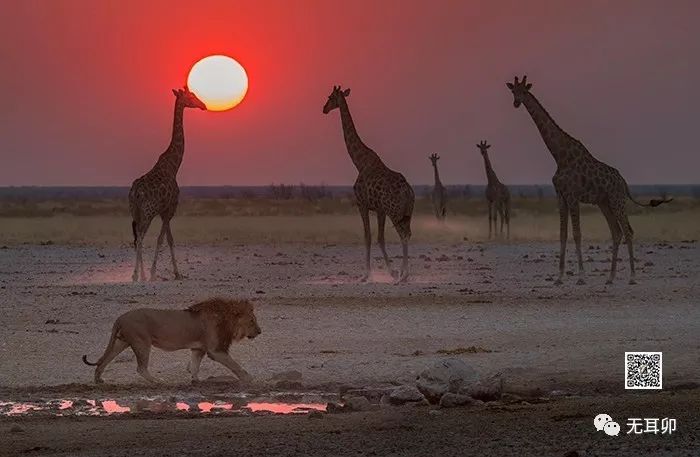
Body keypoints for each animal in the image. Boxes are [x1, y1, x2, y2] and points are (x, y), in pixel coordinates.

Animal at [82, 298, 262, 382]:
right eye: (252, 321)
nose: (260, 332)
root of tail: (120, 317)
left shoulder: (199, 348)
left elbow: (194, 366)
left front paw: (196, 381)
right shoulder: (215, 350)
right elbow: (234, 364)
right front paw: (248, 378)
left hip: (121, 342)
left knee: (104, 360)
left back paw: (98, 379)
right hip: (142, 342)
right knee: (141, 368)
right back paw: (158, 381)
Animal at [129, 84, 205, 278]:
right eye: (191, 96)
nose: (203, 105)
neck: (174, 165)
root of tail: (135, 193)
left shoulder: (165, 211)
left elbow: (169, 239)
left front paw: (175, 273)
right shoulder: (170, 208)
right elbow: (162, 239)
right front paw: (156, 272)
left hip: (135, 211)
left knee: (137, 237)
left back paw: (139, 274)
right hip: (147, 212)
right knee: (141, 236)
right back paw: (137, 275)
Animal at [324, 85, 416, 282]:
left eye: (330, 97)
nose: (324, 109)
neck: (359, 162)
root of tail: (408, 192)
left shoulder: (362, 203)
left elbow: (367, 236)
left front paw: (366, 275)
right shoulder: (380, 209)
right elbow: (380, 238)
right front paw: (391, 271)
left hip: (395, 212)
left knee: (404, 235)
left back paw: (404, 275)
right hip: (407, 212)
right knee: (408, 233)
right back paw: (402, 274)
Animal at [508, 75, 672, 284]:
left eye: (524, 91)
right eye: (513, 91)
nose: (516, 103)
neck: (559, 156)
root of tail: (624, 182)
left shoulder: (572, 195)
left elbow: (577, 234)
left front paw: (581, 276)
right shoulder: (560, 195)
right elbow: (563, 234)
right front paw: (559, 277)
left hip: (617, 200)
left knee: (628, 231)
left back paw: (632, 277)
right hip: (604, 203)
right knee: (616, 232)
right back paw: (610, 277)